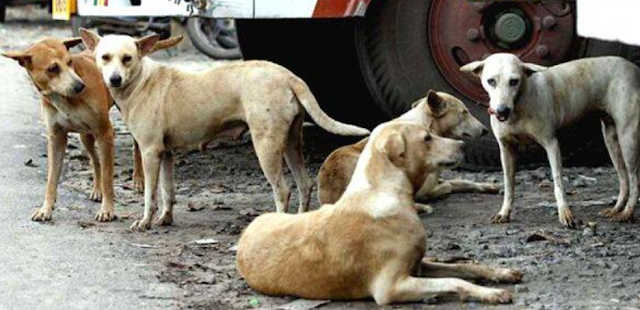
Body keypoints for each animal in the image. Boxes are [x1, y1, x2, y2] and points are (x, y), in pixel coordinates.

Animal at [2, 36, 182, 222]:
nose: (80, 86)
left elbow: (108, 177)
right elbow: (52, 178)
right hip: (86, 136)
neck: (63, 98)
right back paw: (97, 189)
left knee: (136, 148)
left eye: (70, 61)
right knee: (95, 160)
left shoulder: (105, 134)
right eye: (52, 68)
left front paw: (107, 209)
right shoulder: (56, 138)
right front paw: (46, 209)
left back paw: (138, 179)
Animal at [79, 30, 370, 231]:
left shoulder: (151, 153)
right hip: (291, 144)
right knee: (305, 184)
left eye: (127, 59)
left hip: (266, 146)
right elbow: (168, 191)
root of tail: (287, 75)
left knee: (283, 190)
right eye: (104, 58)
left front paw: (146, 221)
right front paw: (165, 219)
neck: (141, 81)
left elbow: (151, 195)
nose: (114, 79)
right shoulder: (166, 154)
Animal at [238, 121, 524, 306]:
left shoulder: (419, 265)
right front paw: (492, 294)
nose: (463, 145)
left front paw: (501, 274)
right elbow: (454, 280)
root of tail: (246, 232)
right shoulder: (392, 287)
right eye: (427, 138)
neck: (384, 191)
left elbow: (464, 266)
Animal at [462, 54, 640, 228]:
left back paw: (627, 213)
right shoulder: (506, 149)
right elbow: (508, 185)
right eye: (491, 81)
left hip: (628, 138)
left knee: (634, 178)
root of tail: (634, 68)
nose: (502, 111)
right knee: (623, 178)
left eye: (514, 81)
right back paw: (617, 209)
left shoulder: (551, 144)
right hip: (611, 140)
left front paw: (565, 214)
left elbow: (558, 182)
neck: (519, 105)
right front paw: (504, 213)